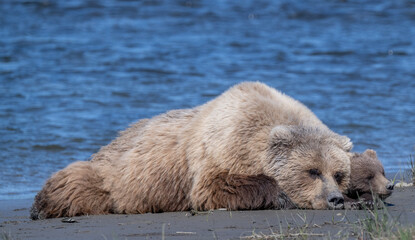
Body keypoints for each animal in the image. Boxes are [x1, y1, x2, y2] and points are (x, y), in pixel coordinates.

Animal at [30, 81, 354, 218]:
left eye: (339, 174)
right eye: (312, 171)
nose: (335, 199)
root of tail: (111, 140)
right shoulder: (221, 149)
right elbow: (214, 188)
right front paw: (282, 196)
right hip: (111, 176)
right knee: (75, 182)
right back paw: (40, 208)